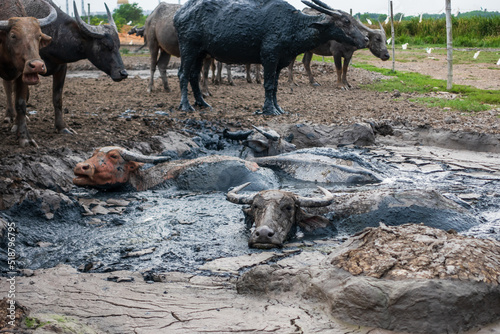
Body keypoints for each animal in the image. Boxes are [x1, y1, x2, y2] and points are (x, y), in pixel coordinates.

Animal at [0, 0, 56, 147]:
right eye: (13, 36)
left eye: (39, 35)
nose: (37, 65)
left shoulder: (21, 75)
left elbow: (20, 103)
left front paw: (24, 137)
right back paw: (8, 116)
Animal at [175, 0, 368, 115]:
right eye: (346, 21)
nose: (365, 39)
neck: (291, 25)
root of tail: (179, 14)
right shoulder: (269, 57)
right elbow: (268, 85)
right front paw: (269, 109)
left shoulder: (280, 62)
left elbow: (275, 86)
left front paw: (278, 108)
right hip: (188, 48)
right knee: (183, 74)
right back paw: (186, 106)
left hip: (201, 53)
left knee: (194, 76)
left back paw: (202, 103)